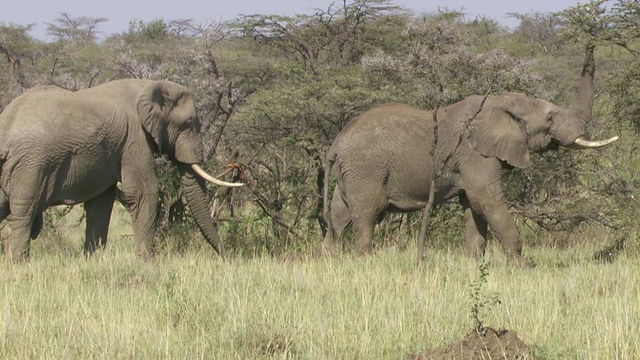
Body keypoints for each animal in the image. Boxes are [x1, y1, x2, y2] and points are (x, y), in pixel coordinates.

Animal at [0, 79, 242, 260]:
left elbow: (101, 204)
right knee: (24, 212)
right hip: (31, 166)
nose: (225, 259)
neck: (150, 85)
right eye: (188, 124)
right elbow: (144, 192)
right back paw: (20, 263)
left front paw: (93, 260)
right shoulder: (135, 139)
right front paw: (147, 262)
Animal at [322, 44, 616, 264]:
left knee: (339, 215)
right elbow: (487, 201)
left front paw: (475, 264)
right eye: (550, 118)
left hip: (348, 173)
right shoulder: (475, 154)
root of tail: (335, 145)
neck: (500, 102)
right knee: (366, 216)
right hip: (365, 169)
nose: (591, 43)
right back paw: (365, 261)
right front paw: (521, 267)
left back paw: (329, 260)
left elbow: (472, 208)